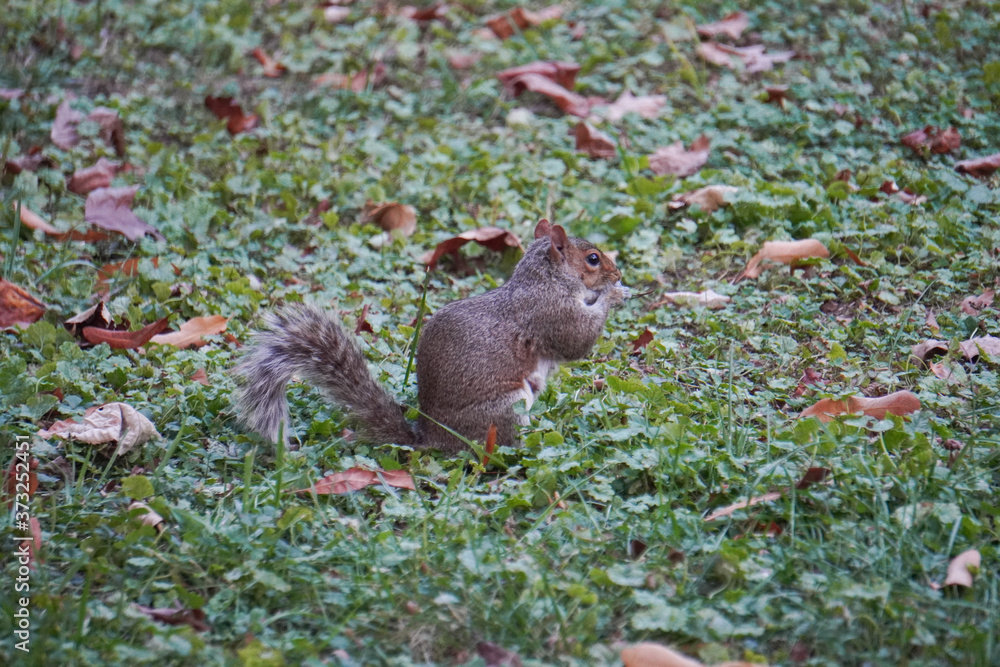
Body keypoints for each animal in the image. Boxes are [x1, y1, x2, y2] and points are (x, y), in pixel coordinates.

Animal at [233, 219, 629, 454]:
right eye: (593, 259)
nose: (618, 273)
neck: (543, 279)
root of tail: (432, 438)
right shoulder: (550, 315)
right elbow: (578, 341)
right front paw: (614, 296)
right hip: (507, 409)